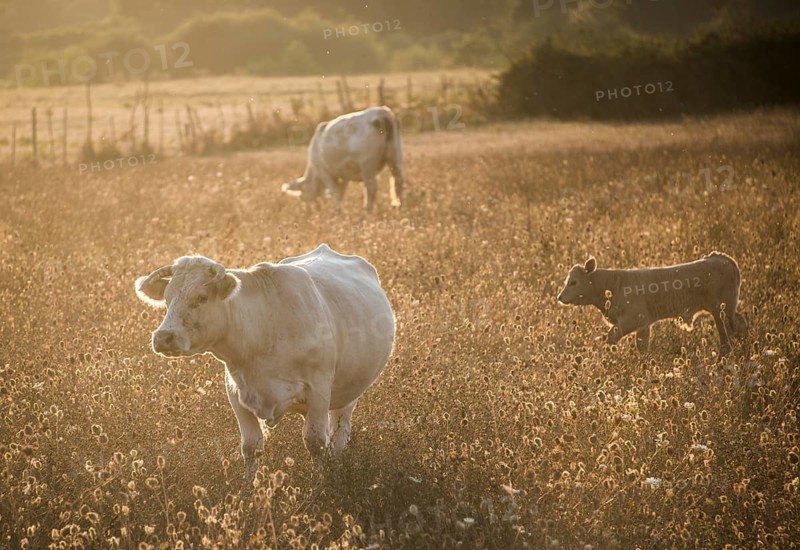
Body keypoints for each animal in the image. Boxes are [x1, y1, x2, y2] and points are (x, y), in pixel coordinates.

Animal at [134, 244, 396, 484]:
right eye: (167, 299)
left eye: (201, 297)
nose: (163, 337)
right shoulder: (236, 392)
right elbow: (251, 447)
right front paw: (248, 493)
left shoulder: (319, 390)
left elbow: (316, 442)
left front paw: (322, 485)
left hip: (348, 395)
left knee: (339, 435)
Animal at [557, 252, 747, 354]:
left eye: (574, 282)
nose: (560, 297)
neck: (612, 285)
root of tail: (721, 258)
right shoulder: (644, 324)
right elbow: (642, 345)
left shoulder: (633, 319)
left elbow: (611, 337)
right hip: (723, 311)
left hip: (723, 309)